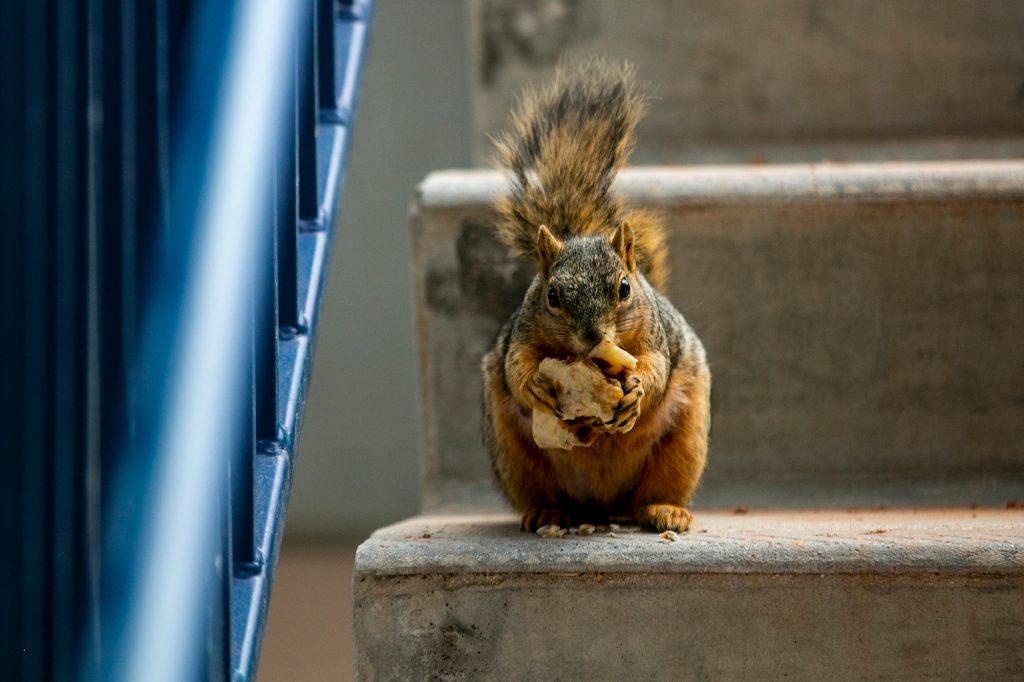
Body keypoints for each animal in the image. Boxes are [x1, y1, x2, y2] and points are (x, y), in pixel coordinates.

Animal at [481, 59, 711, 533]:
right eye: (552, 295)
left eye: (624, 288)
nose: (592, 337)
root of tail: (603, 504)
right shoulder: (522, 334)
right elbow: (517, 366)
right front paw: (535, 385)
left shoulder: (655, 337)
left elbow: (656, 368)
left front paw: (637, 389)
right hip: (514, 455)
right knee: (542, 491)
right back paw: (549, 511)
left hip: (684, 442)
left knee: (655, 493)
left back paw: (666, 510)